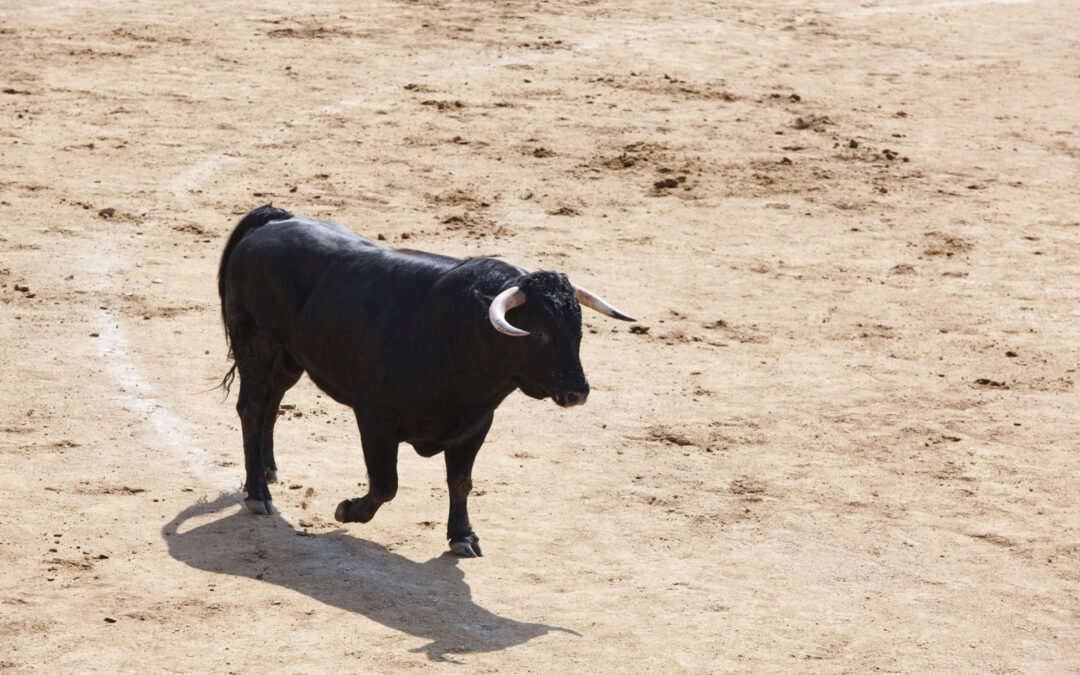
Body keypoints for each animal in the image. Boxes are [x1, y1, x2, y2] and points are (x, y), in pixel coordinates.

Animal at [218, 205, 630, 552]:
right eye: (540, 333)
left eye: (577, 330)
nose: (578, 392)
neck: (460, 333)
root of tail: (273, 221)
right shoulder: (375, 420)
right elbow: (385, 485)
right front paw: (347, 510)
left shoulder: (475, 425)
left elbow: (461, 481)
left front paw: (462, 537)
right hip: (257, 343)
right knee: (252, 408)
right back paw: (258, 495)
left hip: (289, 358)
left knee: (271, 404)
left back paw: (268, 470)